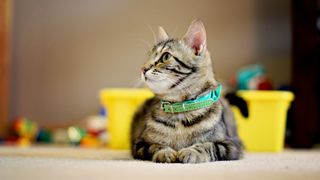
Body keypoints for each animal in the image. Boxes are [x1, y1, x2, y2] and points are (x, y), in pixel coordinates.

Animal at [130, 19, 242, 163]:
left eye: (165, 56)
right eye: (149, 56)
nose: (142, 69)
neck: (180, 111)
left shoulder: (231, 146)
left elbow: (208, 145)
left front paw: (191, 151)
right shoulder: (139, 144)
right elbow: (155, 146)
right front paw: (165, 152)